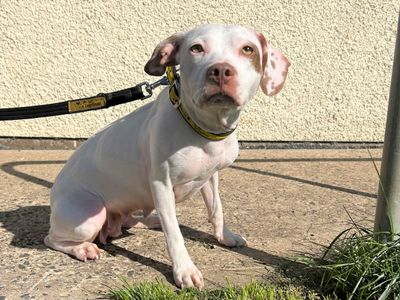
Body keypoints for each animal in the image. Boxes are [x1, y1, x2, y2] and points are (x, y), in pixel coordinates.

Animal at [45, 24, 290, 288]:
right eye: (196, 48)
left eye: (248, 49)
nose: (220, 71)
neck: (203, 128)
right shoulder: (161, 184)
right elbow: (174, 234)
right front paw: (185, 270)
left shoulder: (210, 177)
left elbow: (217, 210)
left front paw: (225, 237)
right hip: (90, 213)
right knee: (53, 239)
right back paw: (83, 248)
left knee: (128, 222)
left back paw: (147, 220)